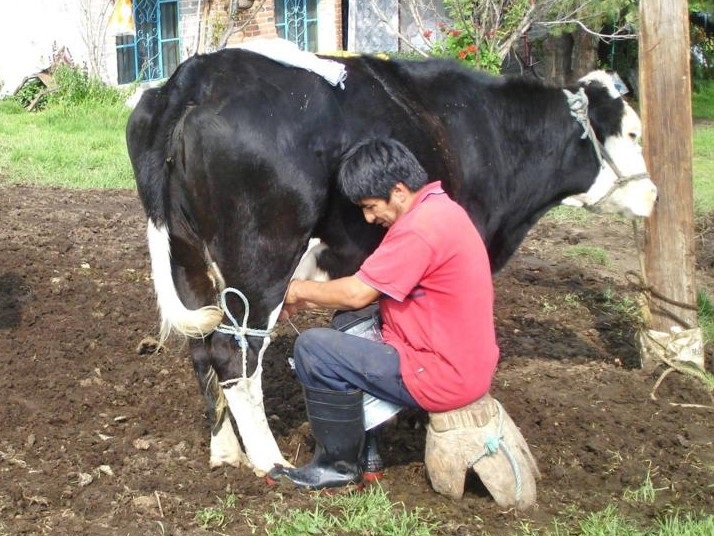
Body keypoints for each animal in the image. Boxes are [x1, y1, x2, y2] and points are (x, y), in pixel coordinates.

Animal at [126, 44, 656, 476]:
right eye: (633, 132)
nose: (652, 194)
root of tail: (198, 74)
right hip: (261, 258)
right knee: (232, 352)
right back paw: (269, 462)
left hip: (187, 256)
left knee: (200, 345)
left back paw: (225, 452)